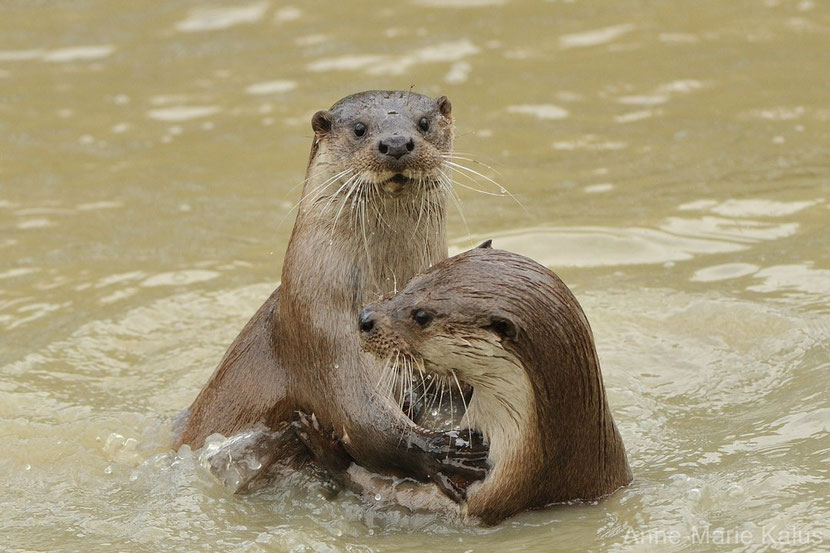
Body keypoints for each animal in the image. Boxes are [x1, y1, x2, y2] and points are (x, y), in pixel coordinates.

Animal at [176, 91, 488, 496]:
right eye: (359, 128)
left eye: (423, 122)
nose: (396, 143)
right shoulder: (323, 337)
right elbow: (362, 423)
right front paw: (446, 451)